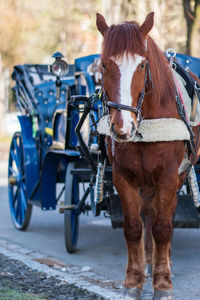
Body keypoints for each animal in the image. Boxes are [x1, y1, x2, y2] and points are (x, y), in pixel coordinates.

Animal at [96, 11, 200, 298]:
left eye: (142, 65)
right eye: (104, 65)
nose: (122, 127)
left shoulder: (168, 176)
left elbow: (163, 227)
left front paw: (163, 283)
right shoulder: (123, 176)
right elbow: (133, 226)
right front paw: (133, 280)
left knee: (161, 217)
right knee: (149, 214)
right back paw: (150, 261)